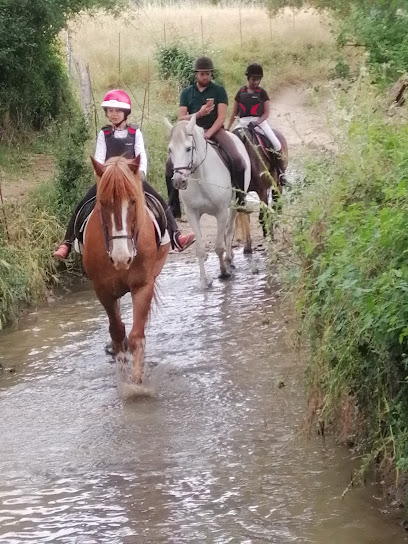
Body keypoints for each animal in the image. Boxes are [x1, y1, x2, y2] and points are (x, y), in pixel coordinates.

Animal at [83, 156, 170, 386]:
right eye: (103, 203)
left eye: (132, 201)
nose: (121, 258)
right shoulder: (103, 290)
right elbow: (117, 330)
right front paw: (122, 376)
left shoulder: (142, 285)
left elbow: (136, 337)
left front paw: (136, 384)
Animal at [165, 115, 249, 288]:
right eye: (170, 150)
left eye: (188, 148)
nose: (178, 181)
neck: (200, 177)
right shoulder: (192, 214)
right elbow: (200, 248)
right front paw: (204, 282)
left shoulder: (221, 212)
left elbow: (218, 246)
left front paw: (224, 273)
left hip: (234, 205)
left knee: (229, 230)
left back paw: (229, 260)